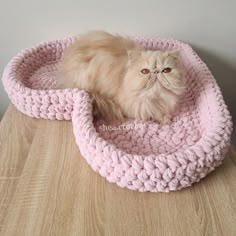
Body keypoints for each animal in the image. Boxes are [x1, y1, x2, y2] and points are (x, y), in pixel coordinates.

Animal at [56, 30, 185, 123]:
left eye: (166, 70)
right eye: (145, 71)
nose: (156, 72)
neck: (155, 99)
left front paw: (165, 118)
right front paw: (163, 119)